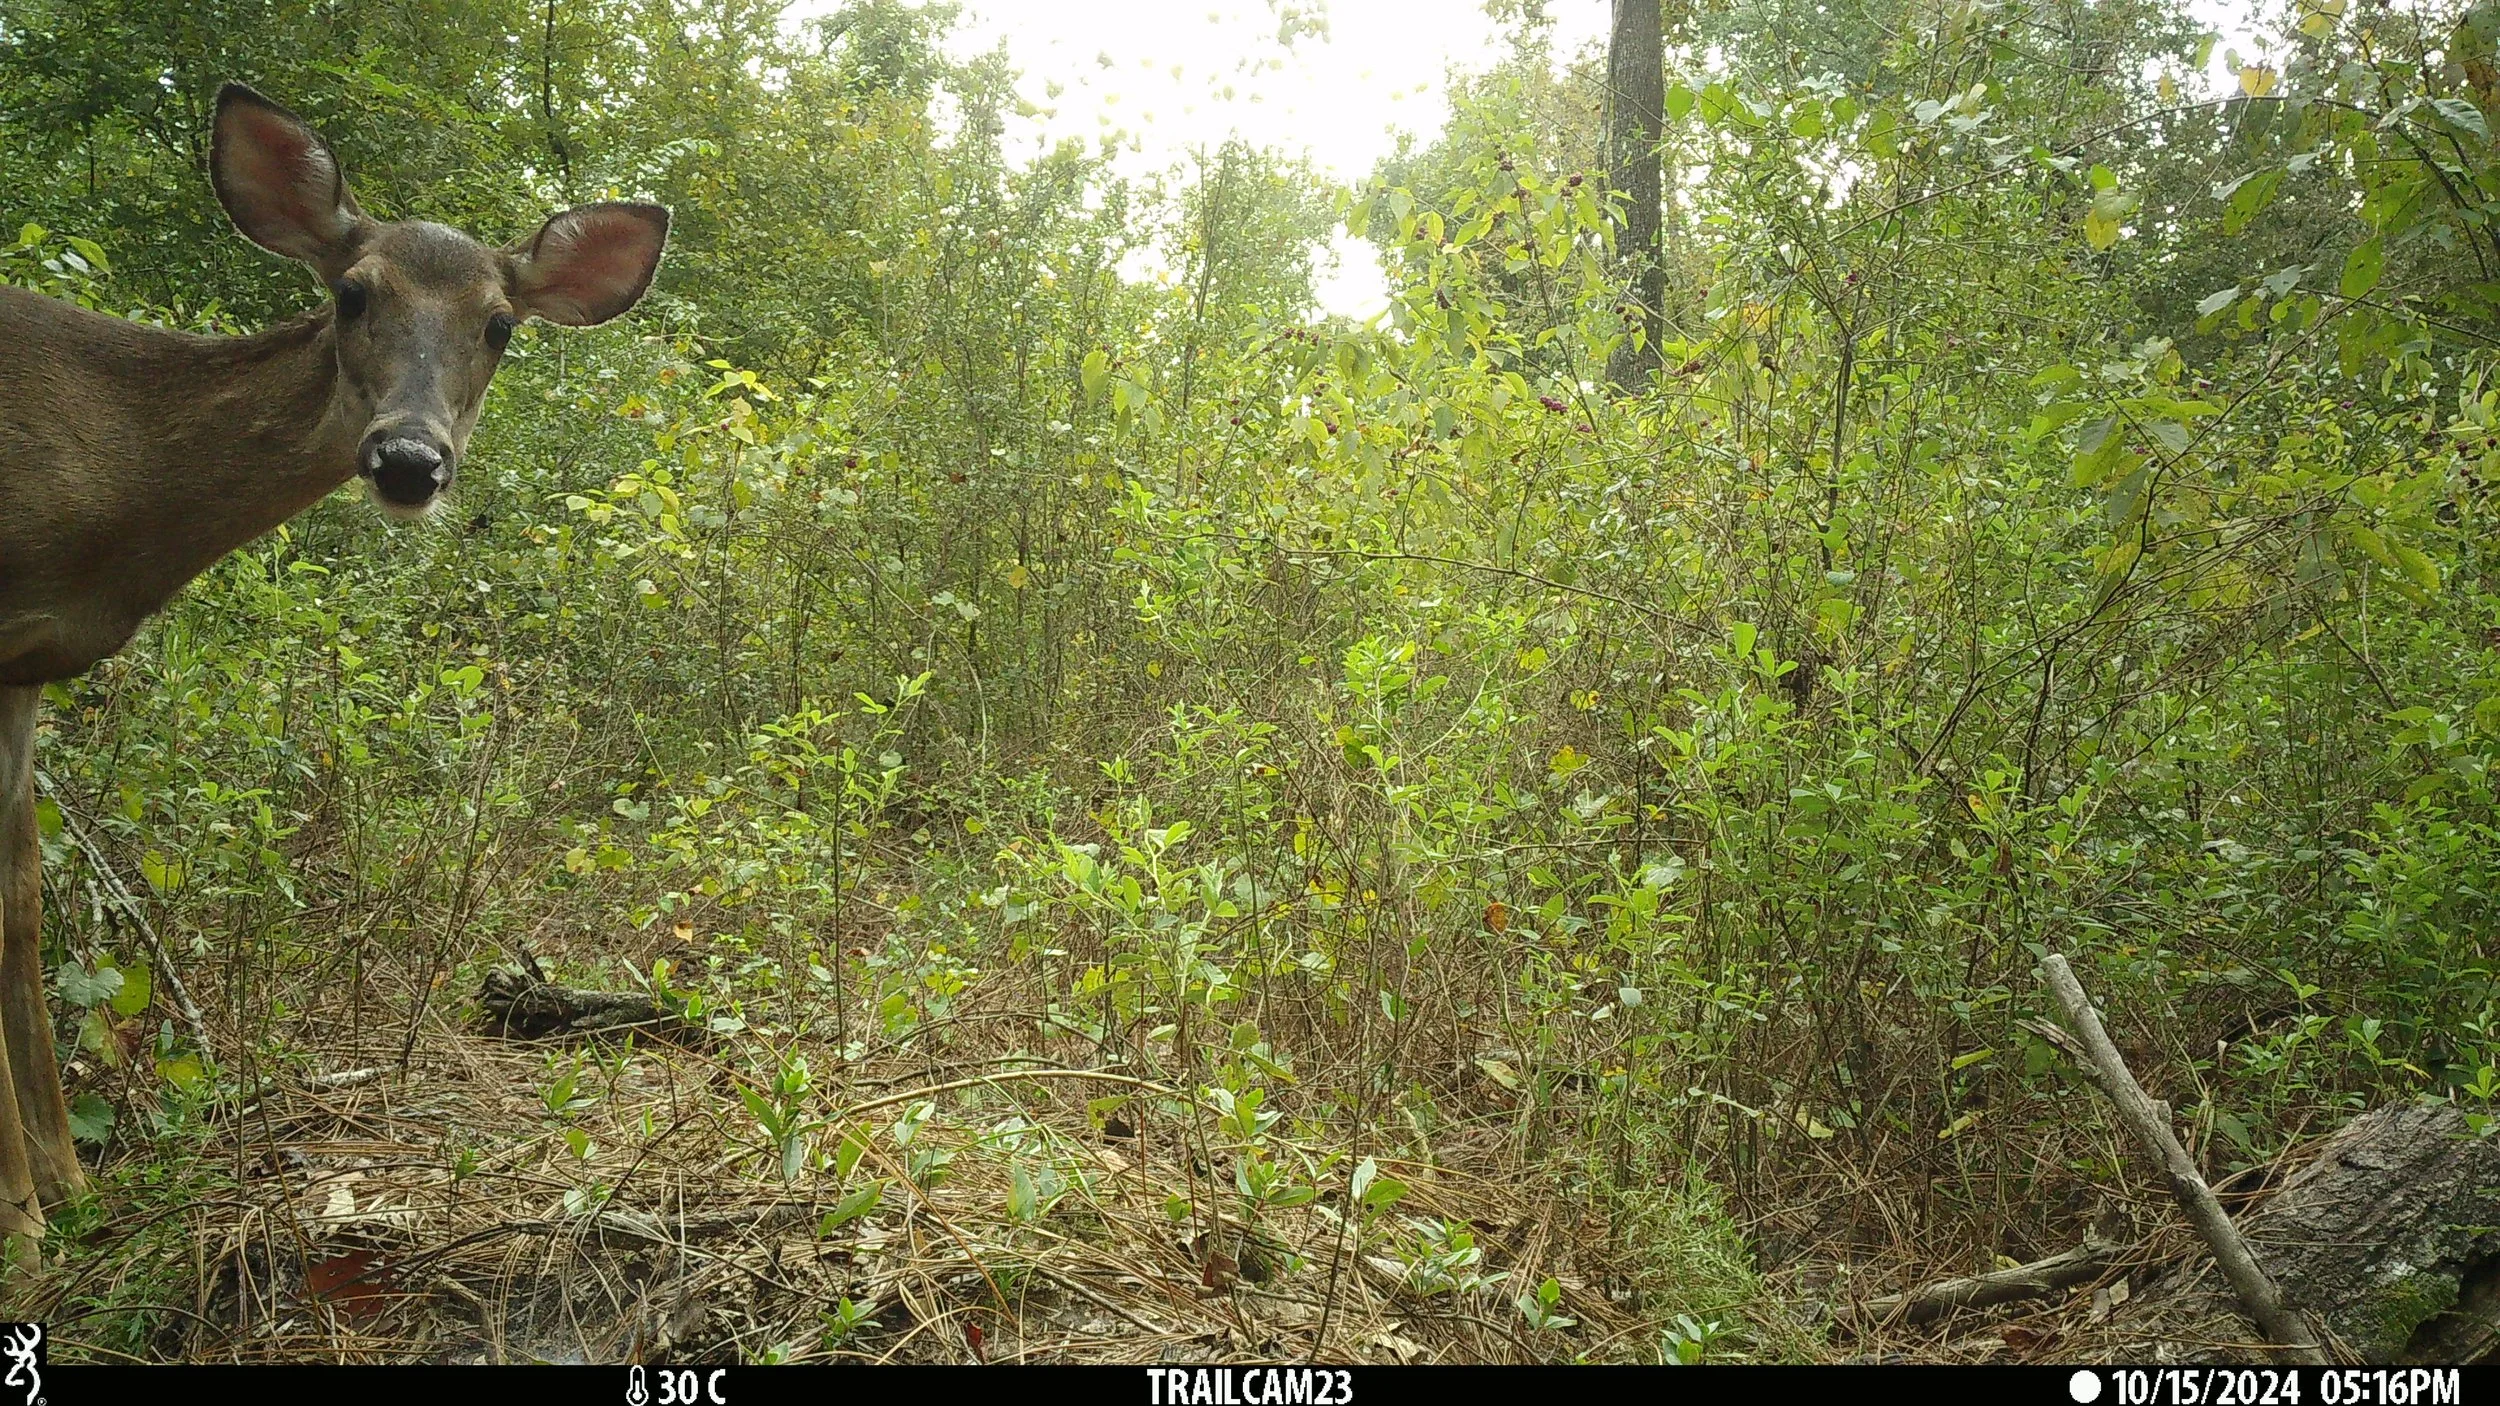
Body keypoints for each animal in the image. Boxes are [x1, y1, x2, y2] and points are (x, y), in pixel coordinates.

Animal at [0, 84, 669, 1239]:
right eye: (352, 293)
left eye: (500, 324)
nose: (409, 459)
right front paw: (23, 1226)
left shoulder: (25, 665)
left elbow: (20, 903)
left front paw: (63, 1190)